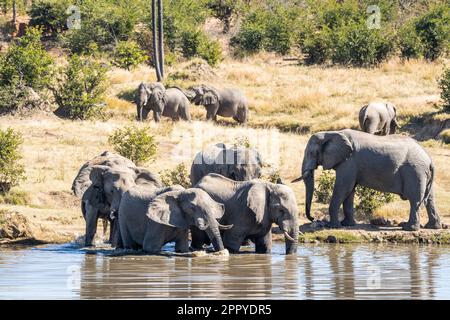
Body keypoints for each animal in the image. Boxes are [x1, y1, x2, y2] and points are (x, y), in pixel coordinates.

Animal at [292, 129, 442, 231]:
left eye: (312, 153)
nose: (313, 219)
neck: (331, 133)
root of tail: (429, 159)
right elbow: (349, 191)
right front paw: (347, 224)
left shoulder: (349, 162)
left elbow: (343, 188)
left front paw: (332, 226)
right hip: (423, 173)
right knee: (430, 199)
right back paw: (432, 227)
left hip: (415, 172)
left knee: (415, 200)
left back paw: (408, 228)